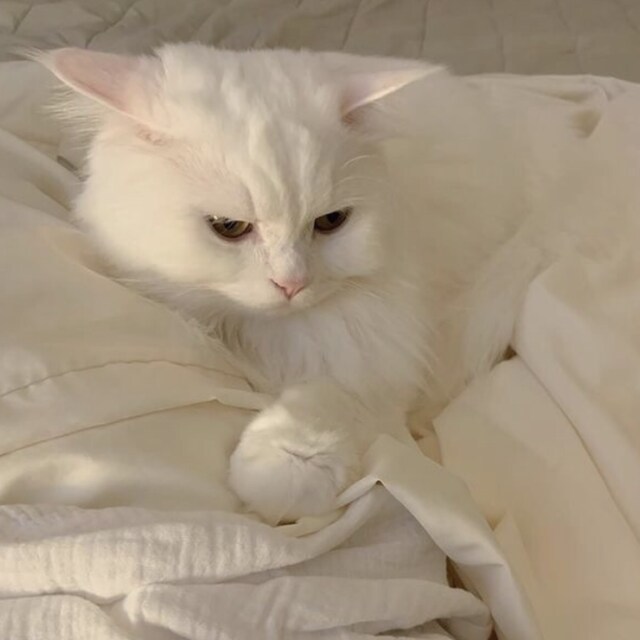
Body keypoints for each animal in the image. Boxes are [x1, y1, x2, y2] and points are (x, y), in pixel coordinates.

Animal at [37, 44, 629, 524]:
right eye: (229, 228)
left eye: (330, 222)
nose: (292, 284)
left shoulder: (382, 350)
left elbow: (330, 394)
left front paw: (284, 466)